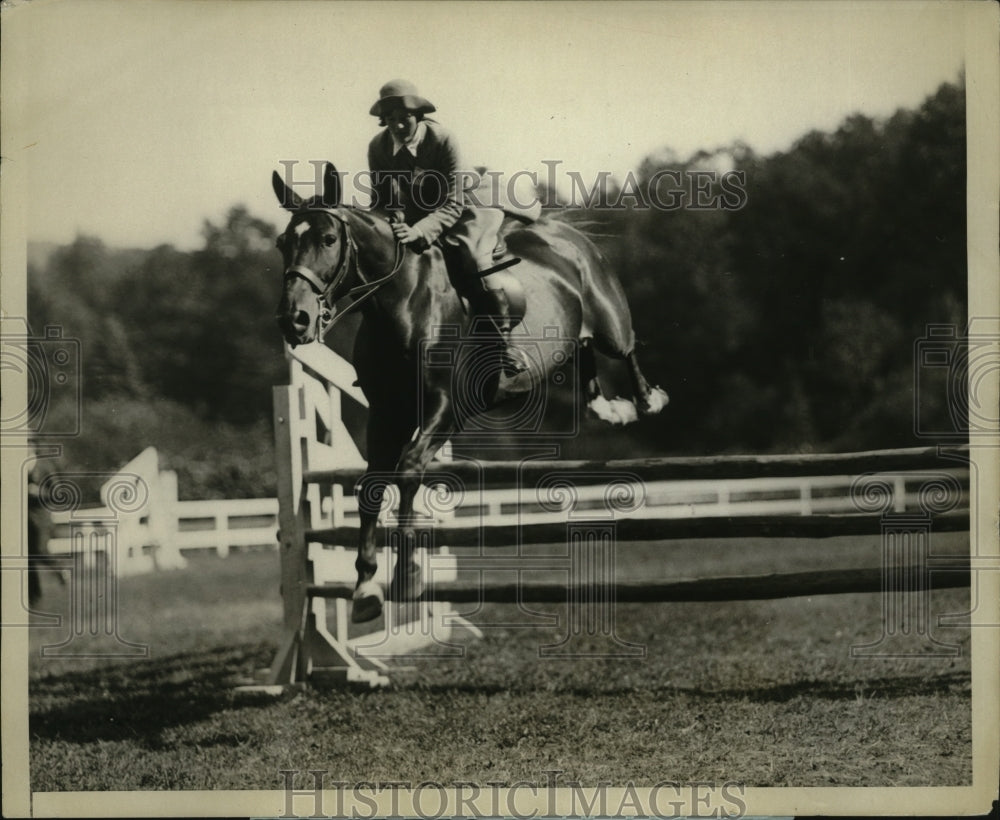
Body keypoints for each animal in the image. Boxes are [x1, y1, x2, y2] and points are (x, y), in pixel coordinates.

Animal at [272, 162, 664, 620]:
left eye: (329, 240)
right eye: (282, 243)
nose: (294, 320)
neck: (401, 301)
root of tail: (564, 232)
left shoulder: (447, 409)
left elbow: (408, 470)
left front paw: (407, 576)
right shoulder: (388, 413)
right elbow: (371, 487)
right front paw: (366, 588)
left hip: (608, 322)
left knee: (626, 346)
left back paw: (646, 401)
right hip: (572, 338)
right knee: (584, 358)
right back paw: (609, 409)